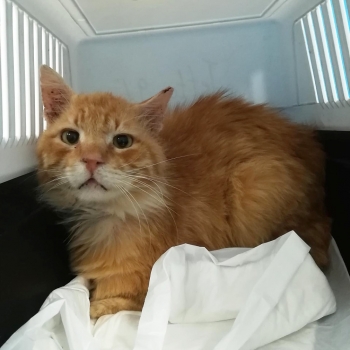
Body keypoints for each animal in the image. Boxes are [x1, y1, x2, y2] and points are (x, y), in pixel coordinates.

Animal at [36, 64, 330, 318]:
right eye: (71, 137)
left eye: (122, 141)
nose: (92, 160)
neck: (107, 216)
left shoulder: (141, 285)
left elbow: (105, 304)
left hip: (257, 184)